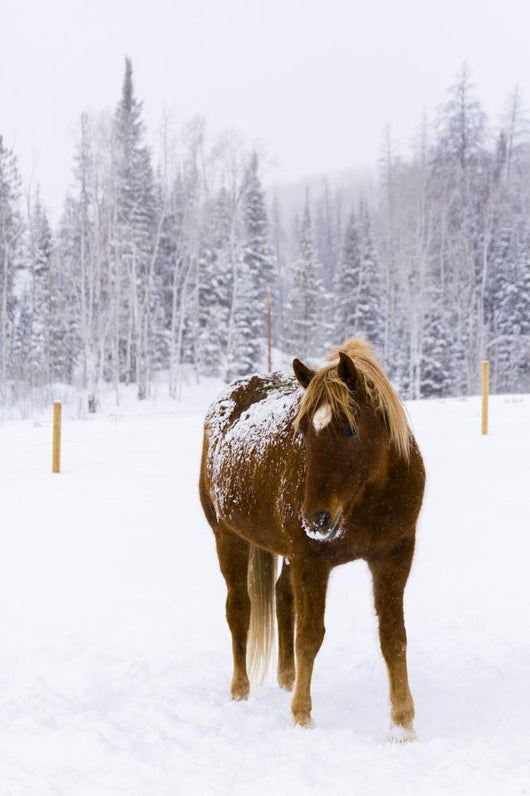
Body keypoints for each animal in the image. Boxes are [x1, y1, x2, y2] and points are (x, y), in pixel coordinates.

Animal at [199, 338, 425, 737]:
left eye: (349, 429)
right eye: (303, 430)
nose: (315, 519)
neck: (368, 500)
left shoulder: (395, 556)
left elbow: (393, 637)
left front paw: (402, 724)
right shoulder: (313, 562)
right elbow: (310, 637)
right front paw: (302, 715)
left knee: (281, 596)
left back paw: (287, 678)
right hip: (228, 537)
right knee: (239, 608)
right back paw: (240, 689)